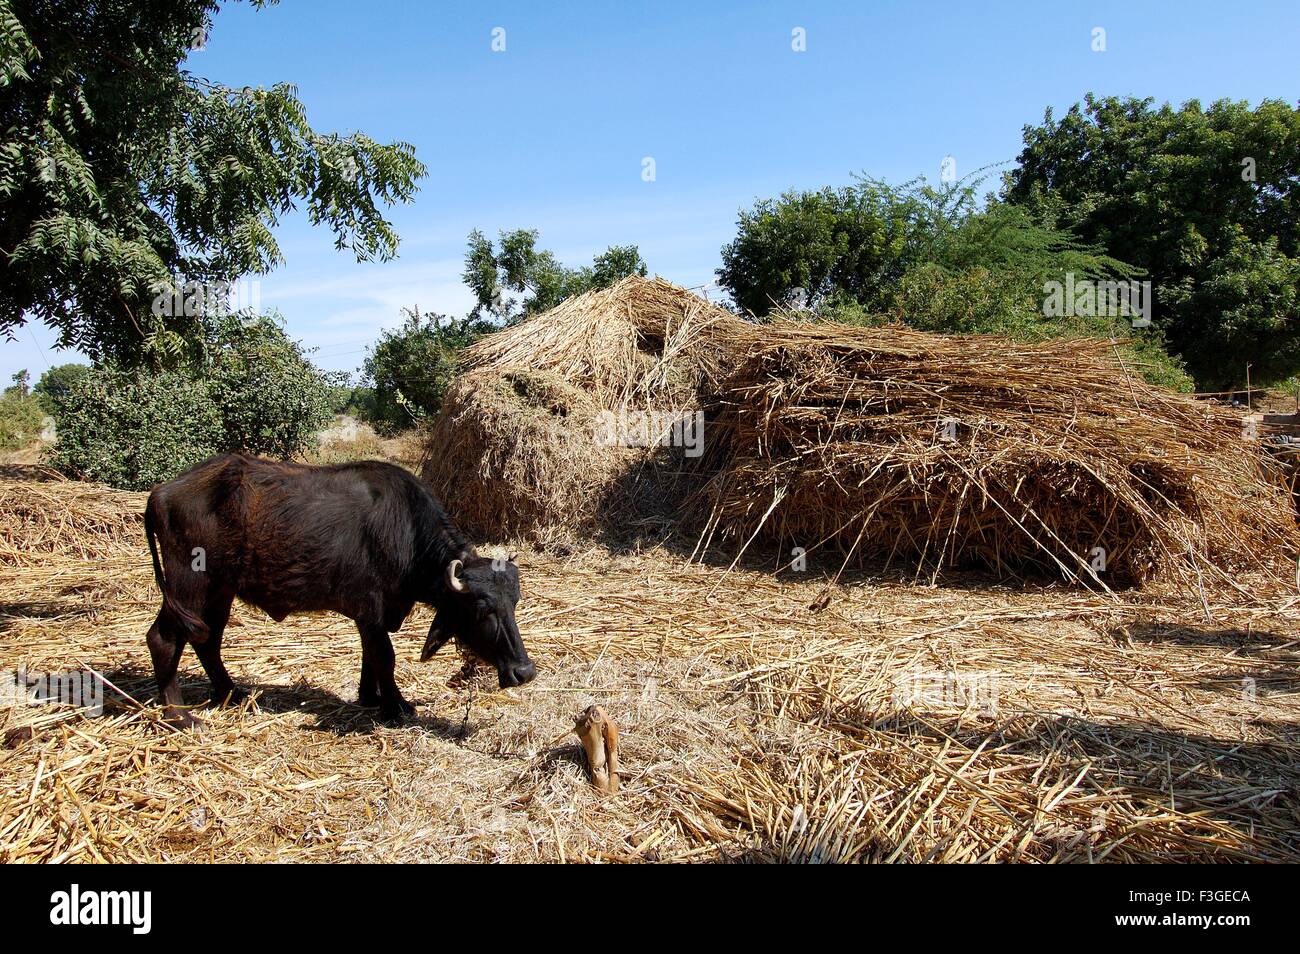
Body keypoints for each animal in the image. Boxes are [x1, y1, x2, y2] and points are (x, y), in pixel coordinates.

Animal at [147, 454, 538, 722]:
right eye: (483, 608)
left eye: (514, 604)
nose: (524, 672)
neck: (404, 534)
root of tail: (162, 493)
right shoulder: (370, 609)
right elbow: (385, 656)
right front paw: (396, 705)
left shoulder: (371, 617)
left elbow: (371, 655)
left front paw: (370, 697)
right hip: (189, 585)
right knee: (164, 638)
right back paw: (179, 716)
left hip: (220, 591)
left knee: (208, 640)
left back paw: (232, 693)